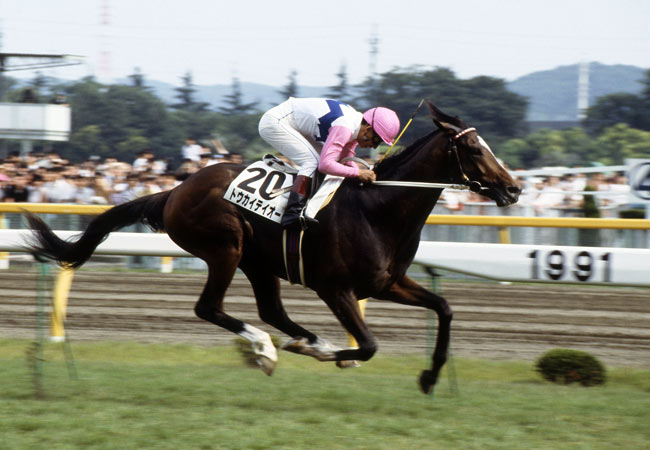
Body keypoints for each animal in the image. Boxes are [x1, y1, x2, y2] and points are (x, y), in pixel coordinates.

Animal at [25, 102, 520, 394]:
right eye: (476, 150)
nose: (514, 189)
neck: (379, 207)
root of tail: (175, 190)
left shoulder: (386, 283)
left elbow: (444, 308)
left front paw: (430, 375)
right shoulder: (336, 288)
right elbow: (368, 345)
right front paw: (328, 355)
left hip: (258, 262)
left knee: (271, 311)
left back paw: (297, 341)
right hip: (225, 247)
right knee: (211, 308)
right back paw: (265, 349)